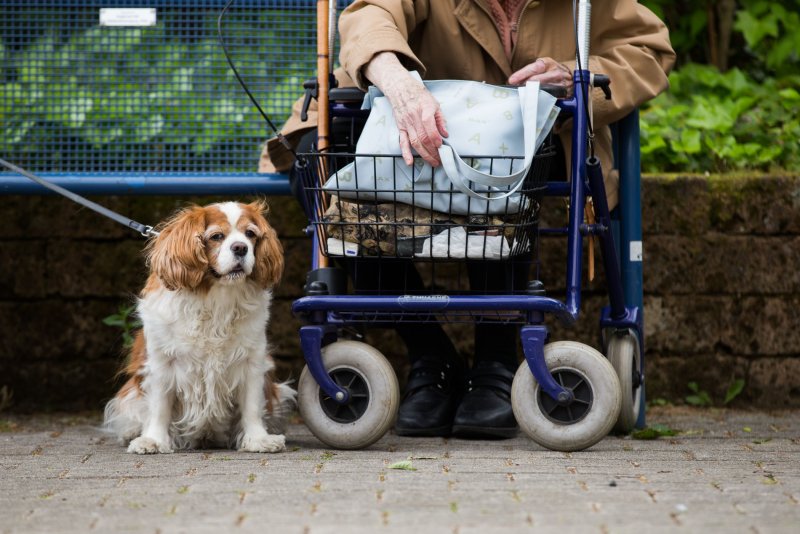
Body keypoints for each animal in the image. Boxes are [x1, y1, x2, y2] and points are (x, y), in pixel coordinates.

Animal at [103, 202, 294, 456]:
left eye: (250, 234)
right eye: (216, 236)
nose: (241, 247)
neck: (216, 298)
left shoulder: (252, 361)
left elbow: (252, 405)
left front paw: (257, 439)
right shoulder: (162, 363)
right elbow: (159, 406)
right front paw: (153, 440)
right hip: (130, 395)